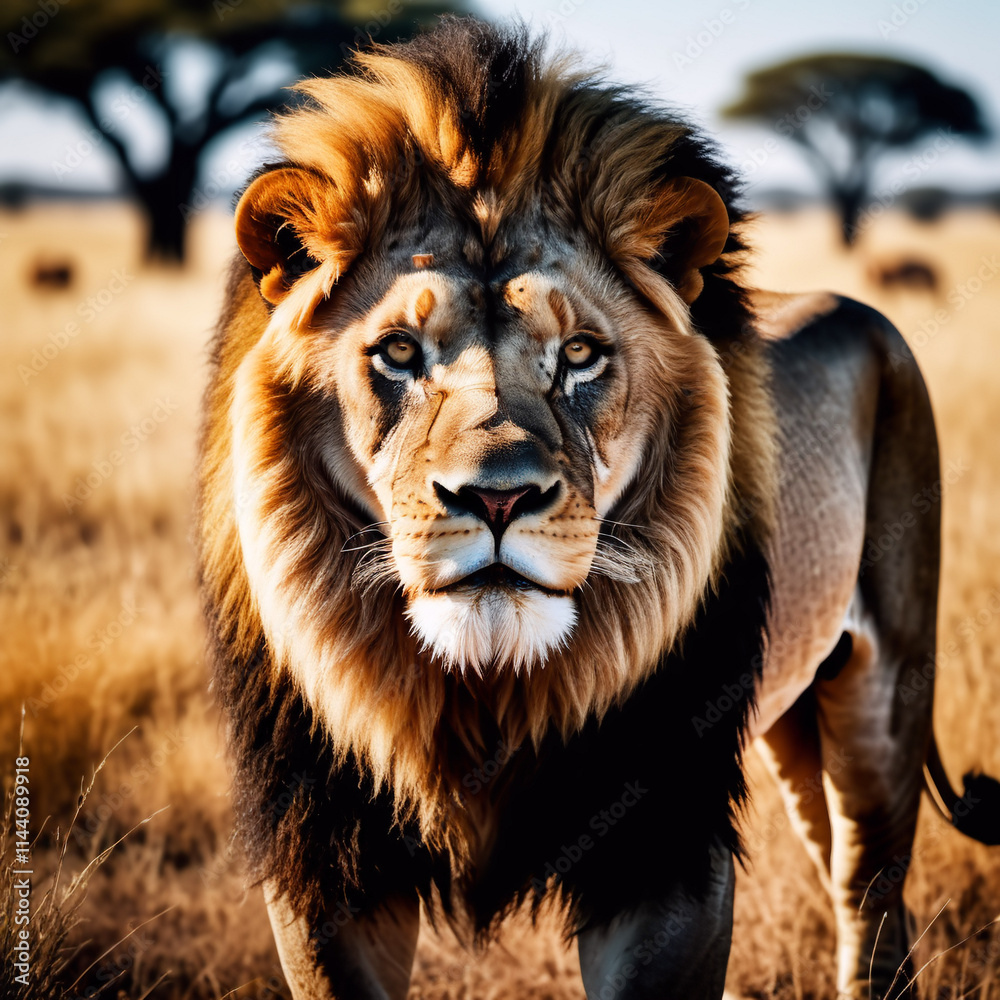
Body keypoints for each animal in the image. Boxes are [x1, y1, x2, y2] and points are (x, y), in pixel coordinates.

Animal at [197, 18, 1000, 1000]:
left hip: (885, 684)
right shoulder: (323, 849)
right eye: (398, 352)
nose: (497, 495)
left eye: (579, 354)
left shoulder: (666, 840)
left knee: (869, 897)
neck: (481, 692)